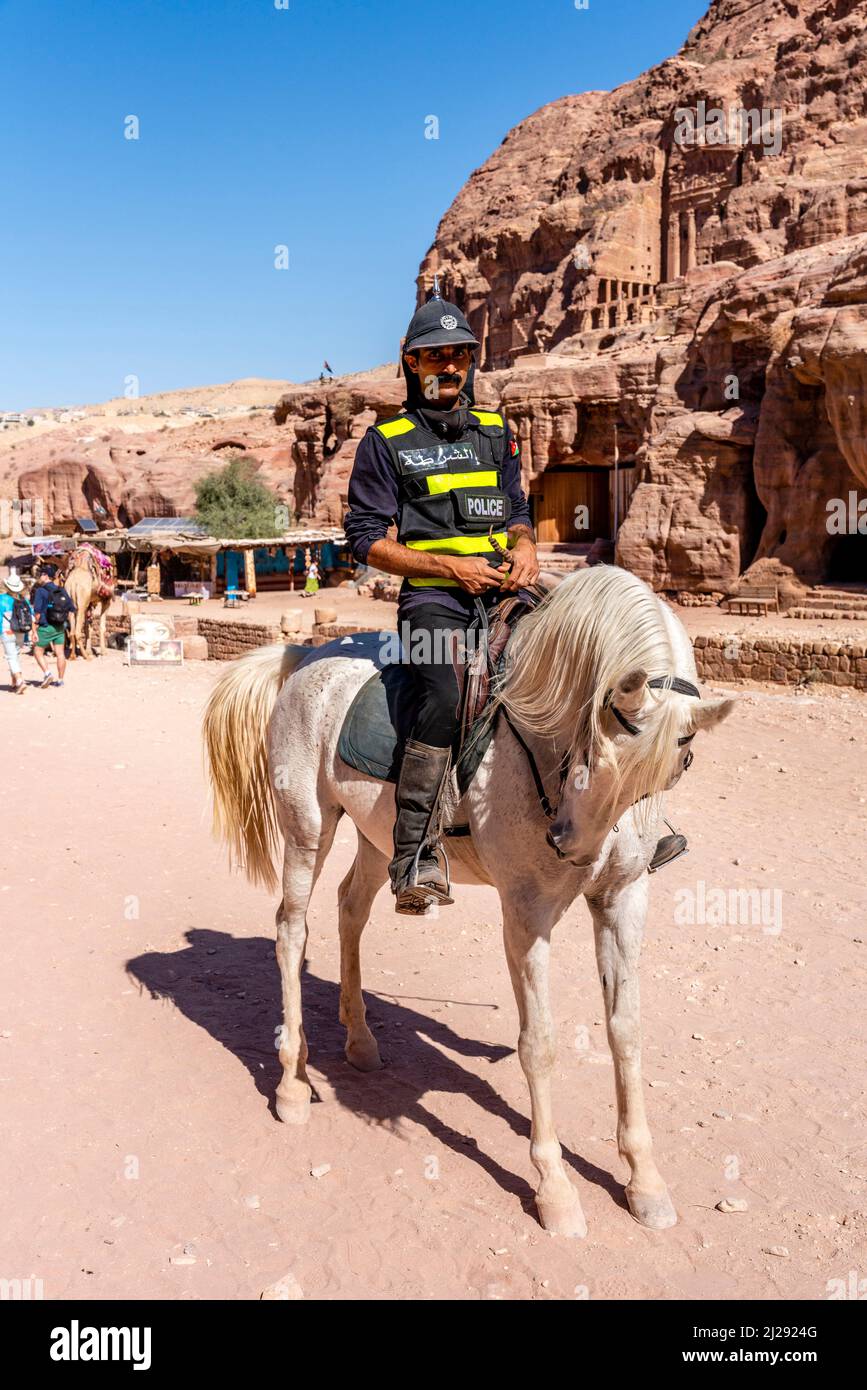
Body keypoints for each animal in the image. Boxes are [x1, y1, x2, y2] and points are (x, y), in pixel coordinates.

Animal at [202, 564, 733, 1239]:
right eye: (590, 742)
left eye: (674, 766)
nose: (570, 847)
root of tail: (306, 656)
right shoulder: (527, 910)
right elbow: (540, 1044)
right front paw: (555, 1191)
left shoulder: (622, 897)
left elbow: (627, 1030)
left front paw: (645, 1183)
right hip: (306, 828)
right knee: (291, 931)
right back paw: (293, 1087)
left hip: (379, 836)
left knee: (351, 908)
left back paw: (361, 1042)